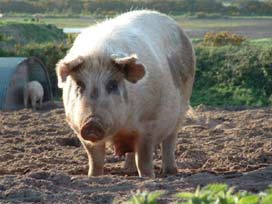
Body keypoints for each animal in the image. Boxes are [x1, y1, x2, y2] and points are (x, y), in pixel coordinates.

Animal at [55, 10, 196, 178]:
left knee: (170, 140)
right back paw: (128, 171)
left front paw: (148, 177)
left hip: (182, 108)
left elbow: (144, 159)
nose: (92, 124)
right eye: (79, 84)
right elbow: (95, 159)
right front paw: (93, 176)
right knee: (131, 151)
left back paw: (170, 172)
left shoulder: (149, 124)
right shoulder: (77, 127)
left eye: (112, 84)